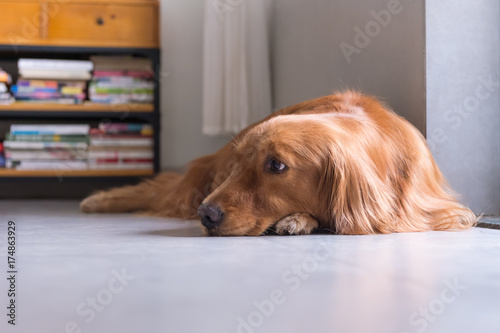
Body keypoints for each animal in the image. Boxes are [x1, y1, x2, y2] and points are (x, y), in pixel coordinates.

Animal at [79, 91, 476, 235]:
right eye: (240, 165)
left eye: (277, 166)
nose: (206, 215)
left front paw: (299, 218)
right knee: (163, 190)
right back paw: (99, 200)